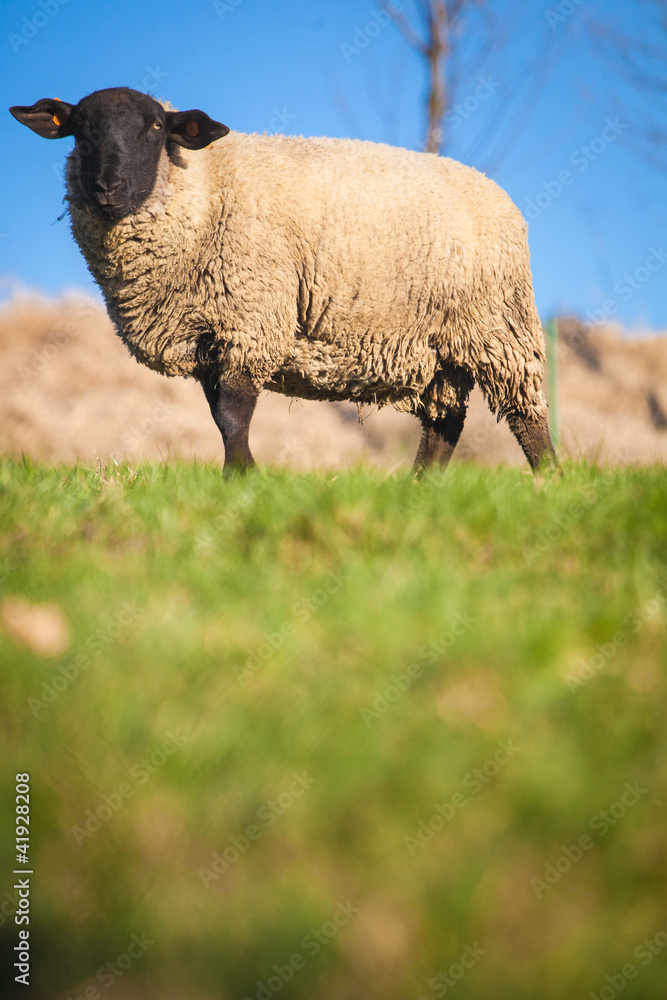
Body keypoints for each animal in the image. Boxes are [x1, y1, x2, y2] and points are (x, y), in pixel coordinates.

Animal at [10, 86, 556, 473]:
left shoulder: (250, 317)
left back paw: (550, 482)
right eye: (80, 129)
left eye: (156, 126)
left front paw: (242, 478)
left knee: (527, 418)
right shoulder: (209, 335)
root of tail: (497, 193)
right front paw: (246, 473)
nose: (109, 187)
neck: (203, 190)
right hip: (438, 348)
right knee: (445, 425)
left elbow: (233, 414)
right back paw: (420, 489)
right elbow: (220, 416)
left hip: (498, 328)